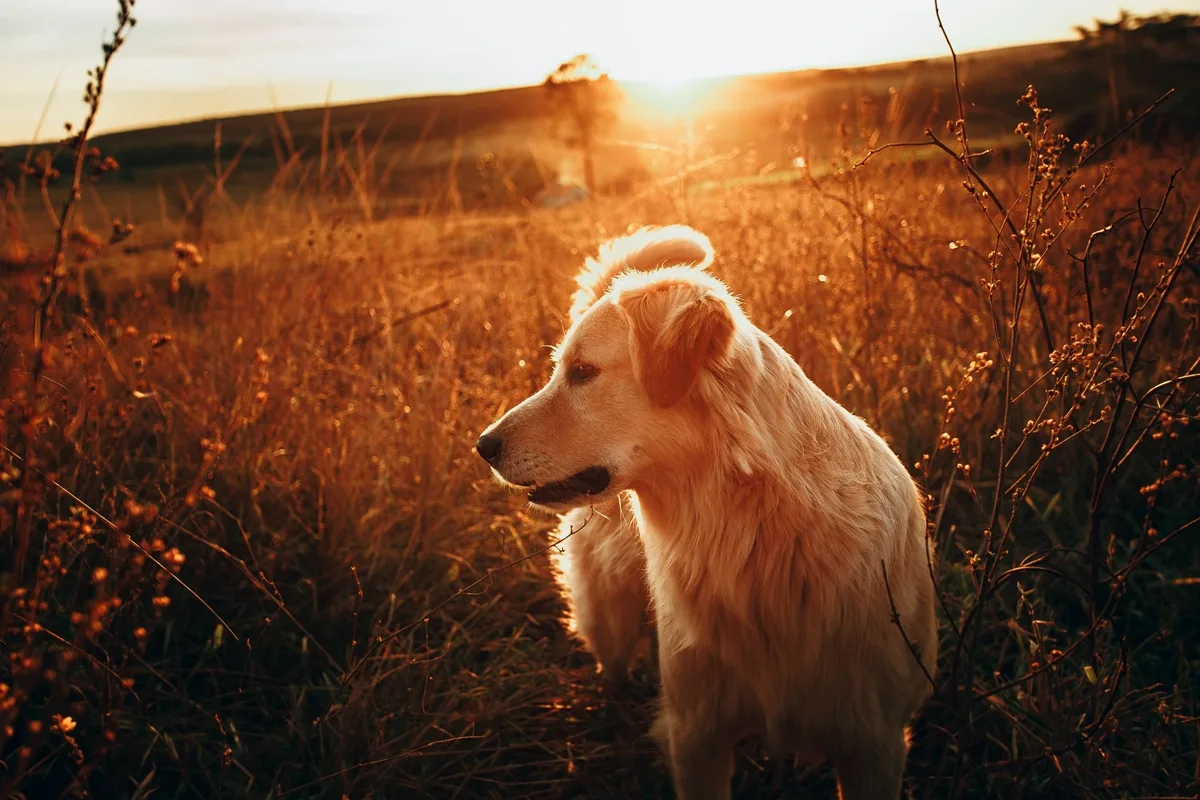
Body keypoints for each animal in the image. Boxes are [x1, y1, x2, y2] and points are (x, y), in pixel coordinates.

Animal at [477, 225, 936, 800]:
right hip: (610, 617)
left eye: (582, 372)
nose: (482, 446)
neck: (756, 532)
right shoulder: (696, 732)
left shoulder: (873, 741)